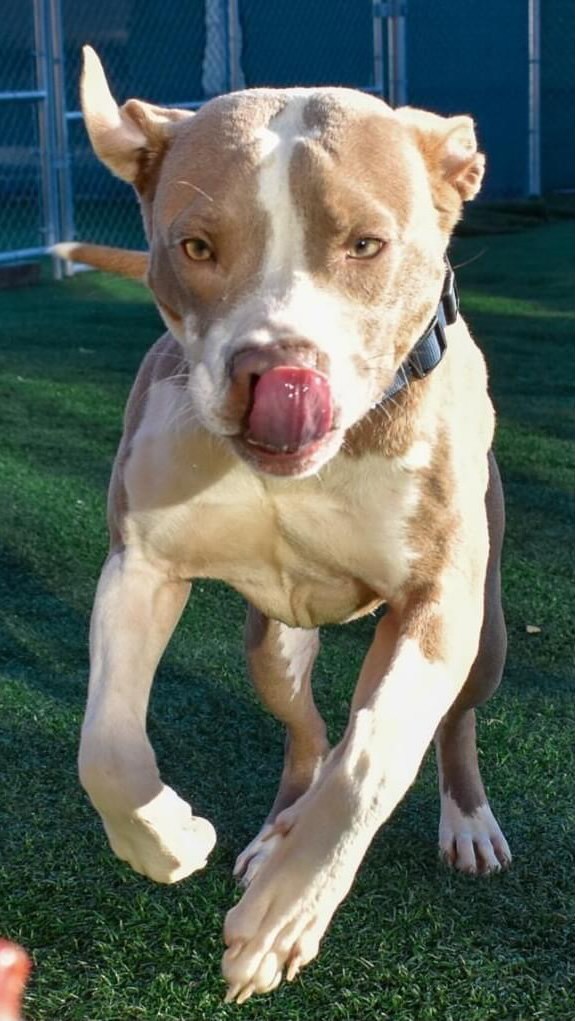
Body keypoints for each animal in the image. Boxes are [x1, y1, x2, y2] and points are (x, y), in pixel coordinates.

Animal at [63, 47, 512, 1004]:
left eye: (365, 244)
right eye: (195, 246)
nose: (276, 373)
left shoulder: (435, 602)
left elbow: (373, 757)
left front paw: (281, 917)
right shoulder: (140, 564)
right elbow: (105, 746)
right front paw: (166, 839)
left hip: (486, 631)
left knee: (444, 723)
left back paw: (464, 822)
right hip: (271, 639)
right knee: (306, 734)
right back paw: (275, 832)